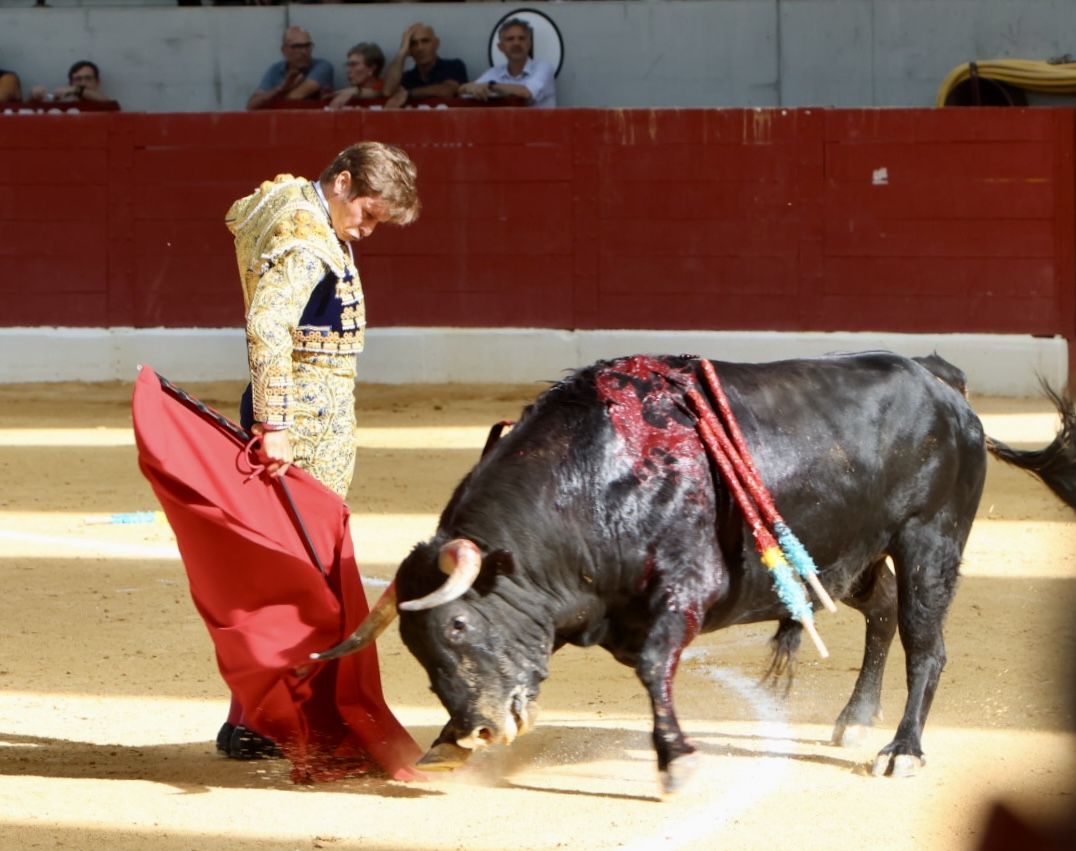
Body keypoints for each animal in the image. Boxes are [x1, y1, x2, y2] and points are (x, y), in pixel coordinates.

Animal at [314, 350, 1071, 791]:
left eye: (460, 624)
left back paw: (901, 749)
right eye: (414, 647)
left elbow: (655, 665)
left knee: (926, 642)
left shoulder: (686, 589)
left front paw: (677, 757)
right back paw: (855, 718)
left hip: (929, 540)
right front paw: (441, 744)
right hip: (846, 555)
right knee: (883, 609)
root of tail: (939, 380)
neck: (592, 482)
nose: (477, 728)